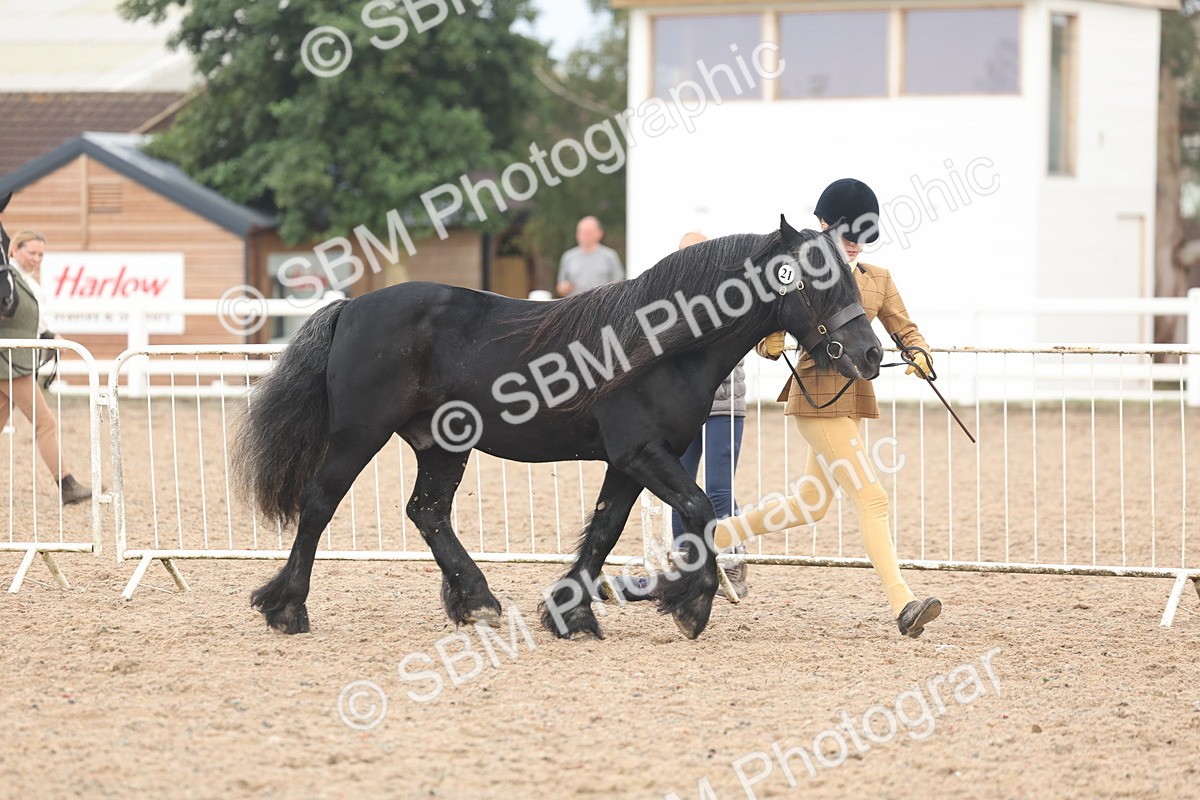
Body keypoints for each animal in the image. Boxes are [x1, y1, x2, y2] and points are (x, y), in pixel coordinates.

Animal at [235, 215, 884, 641]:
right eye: (815, 280)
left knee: (427, 512)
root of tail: (350, 307)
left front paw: (571, 611)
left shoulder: (632, 460)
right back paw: (287, 609)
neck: (657, 345)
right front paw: (690, 606)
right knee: (320, 503)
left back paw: (478, 601)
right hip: (358, 436)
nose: (871, 354)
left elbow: (606, 530)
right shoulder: (641, 451)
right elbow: (700, 511)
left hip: (442, 444)